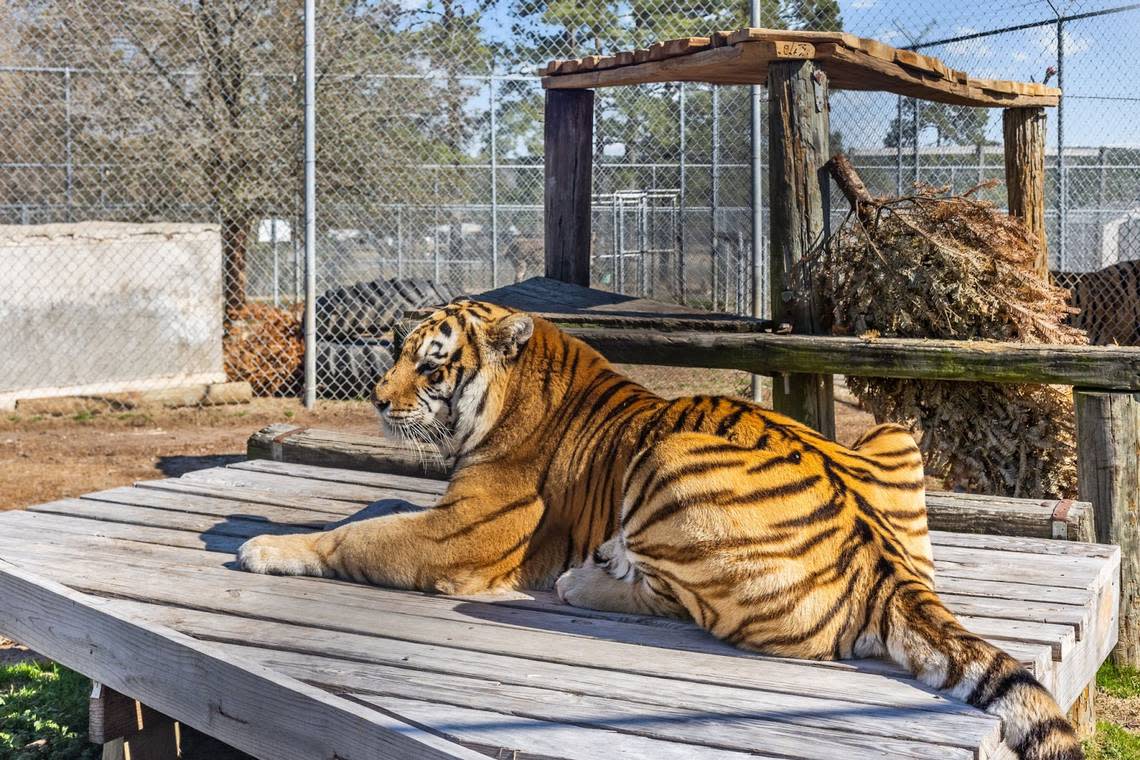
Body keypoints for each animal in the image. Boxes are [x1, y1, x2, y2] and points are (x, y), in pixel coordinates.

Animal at [238, 298, 1076, 760]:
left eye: (433, 365)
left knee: (681, 603)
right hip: (894, 434)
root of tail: (886, 569)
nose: (378, 401)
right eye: (399, 353)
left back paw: (585, 582)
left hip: (665, 457)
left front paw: (261, 546)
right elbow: (372, 511)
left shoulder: (462, 532)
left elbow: (356, 536)